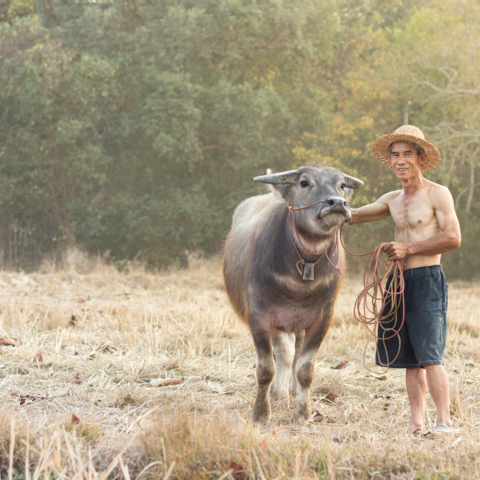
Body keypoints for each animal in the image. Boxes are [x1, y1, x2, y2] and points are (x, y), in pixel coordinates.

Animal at [224, 165, 364, 424]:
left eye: (341, 185)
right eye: (304, 182)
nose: (337, 203)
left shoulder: (322, 319)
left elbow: (305, 368)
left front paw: (303, 413)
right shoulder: (259, 316)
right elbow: (265, 368)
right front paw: (261, 413)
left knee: (292, 354)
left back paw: (288, 391)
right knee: (284, 353)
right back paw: (278, 393)